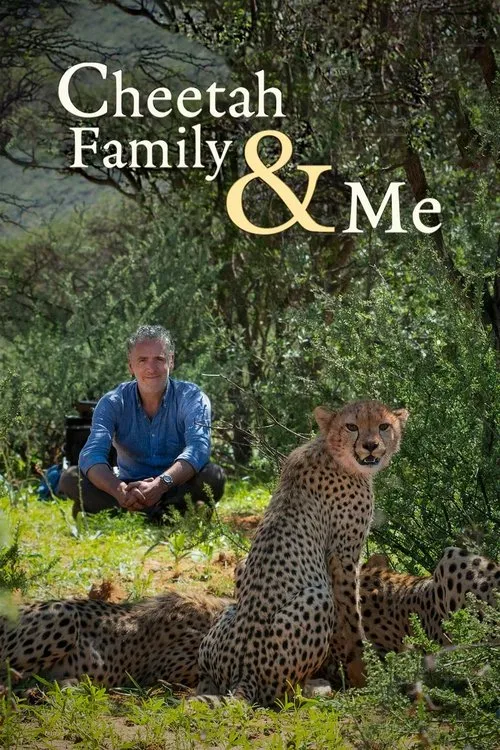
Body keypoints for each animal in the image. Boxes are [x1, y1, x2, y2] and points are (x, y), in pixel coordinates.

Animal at [195, 399, 409, 706]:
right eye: (351, 426)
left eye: (383, 426)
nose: (370, 446)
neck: (332, 450)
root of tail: (243, 674)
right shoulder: (343, 555)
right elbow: (352, 618)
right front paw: (363, 672)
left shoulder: (243, 566)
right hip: (317, 598)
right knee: (282, 693)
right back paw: (315, 687)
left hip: (226, 616)